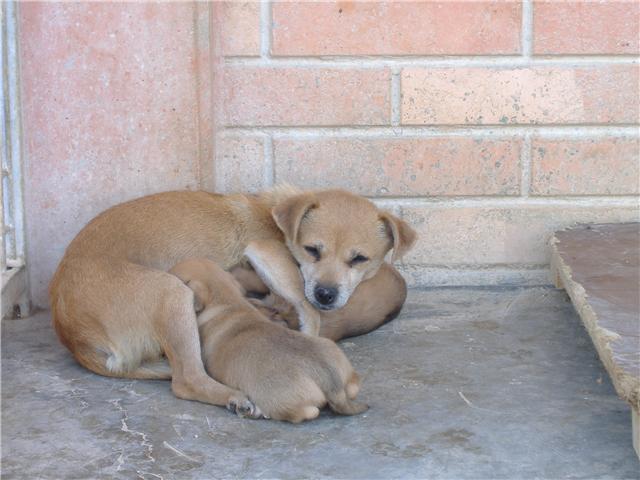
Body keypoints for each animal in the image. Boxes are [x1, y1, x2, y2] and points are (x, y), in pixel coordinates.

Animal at [169, 258, 370, 424]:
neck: (227, 301)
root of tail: (328, 380)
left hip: (278, 399)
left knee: (308, 412)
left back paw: (259, 412)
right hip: (343, 368)